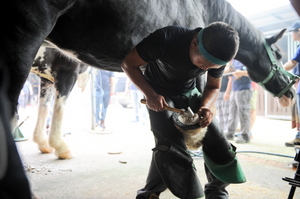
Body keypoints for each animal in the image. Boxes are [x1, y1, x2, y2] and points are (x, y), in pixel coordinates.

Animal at [0, 0, 296, 159]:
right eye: (280, 54)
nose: (291, 93)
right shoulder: (66, 69)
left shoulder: (50, 75)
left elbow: (46, 104)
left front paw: (45, 144)